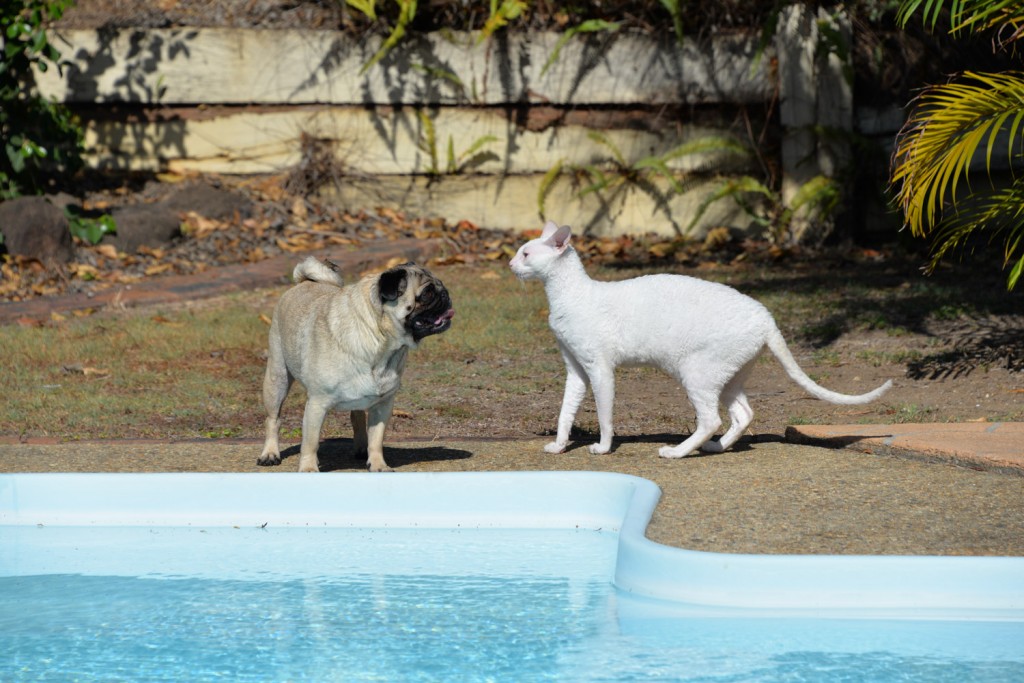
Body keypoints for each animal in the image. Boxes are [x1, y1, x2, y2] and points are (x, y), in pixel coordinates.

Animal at [256, 253, 452, 473]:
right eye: (427, 294)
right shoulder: (316, 404)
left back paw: (361, 448)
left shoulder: (383, 405)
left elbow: (376, 439)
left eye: (440, 288)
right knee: (273, 419)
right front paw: (308, 468)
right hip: (277, 379)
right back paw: (270, 453)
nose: (445, 295)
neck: (378, 337)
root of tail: (305, 281)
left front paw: (378, 465)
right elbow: (310, 442)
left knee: (357, 417)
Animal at [507, 222, 892, 458]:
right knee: (743, 414)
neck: (565, 297)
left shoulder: (600, 369)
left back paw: (677, 452)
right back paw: (716, 448)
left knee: (711, 420)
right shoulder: (575, 370)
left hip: (695, 372)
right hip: (727, 377)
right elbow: (565, 411)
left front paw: (602, 448)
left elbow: (604, 414)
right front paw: (559, 446)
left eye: (525, 254)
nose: (510, 264)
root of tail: (766, 316)